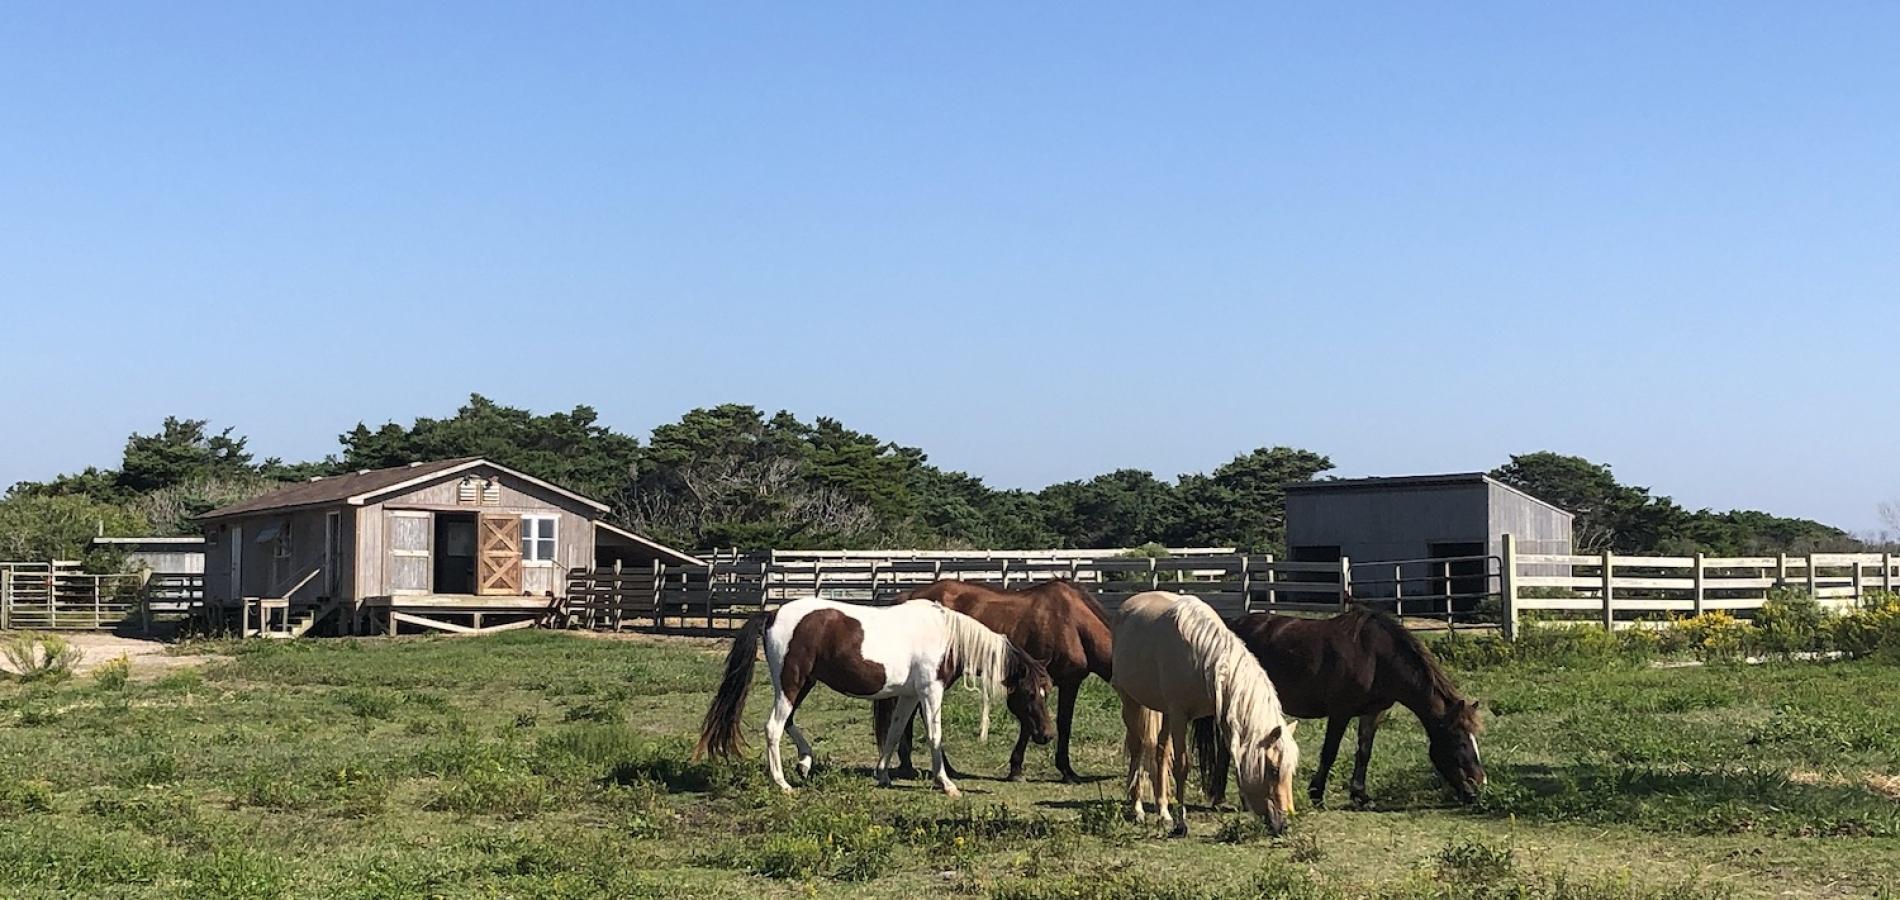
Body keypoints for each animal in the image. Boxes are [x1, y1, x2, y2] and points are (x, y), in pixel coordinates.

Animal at [695, 596, 1056, 793]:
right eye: (1030, 693)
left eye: (1047, 690)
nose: (1047, 735)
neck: (948, 636)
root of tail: (771, 614)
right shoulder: (931, 692)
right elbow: (934, 736)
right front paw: (946, 784)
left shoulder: (910, 696)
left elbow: (894, 733)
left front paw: (882, 774)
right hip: (791, 682)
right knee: (773, 727)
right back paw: (782, 783)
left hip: (801, 683)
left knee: (789, 722)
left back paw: (805, 762)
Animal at [874, 577, 1109, 782]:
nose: (1046, 737)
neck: (1074, 623)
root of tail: (910, 596)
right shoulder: (1060, 682)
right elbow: (1057, 723)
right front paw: (1062, 771)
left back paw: (909, 764)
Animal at [1109, 592, 1307, 835]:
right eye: (1273, 770)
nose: (1284, 824)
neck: (1202, 658)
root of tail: (1129, 604)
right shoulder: (1179, 715)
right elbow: (1182, 766)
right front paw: (1181, 824)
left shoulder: (1220, 716)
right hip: (1131, 702)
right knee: (1137, 749)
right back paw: (1138, 809)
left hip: (1163, 712)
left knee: (1160, 753)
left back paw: (1163, 812)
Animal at [1200, 603, 1482, 808]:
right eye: (1460, 741)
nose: (1477, 787)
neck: (1377, 657)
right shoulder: (1340, 712)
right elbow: (1330, 752)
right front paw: (1316, 793)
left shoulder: (1373, 713)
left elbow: (1364, 751)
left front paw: (1360, 795)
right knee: (1226, 747)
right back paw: (1222, 798)